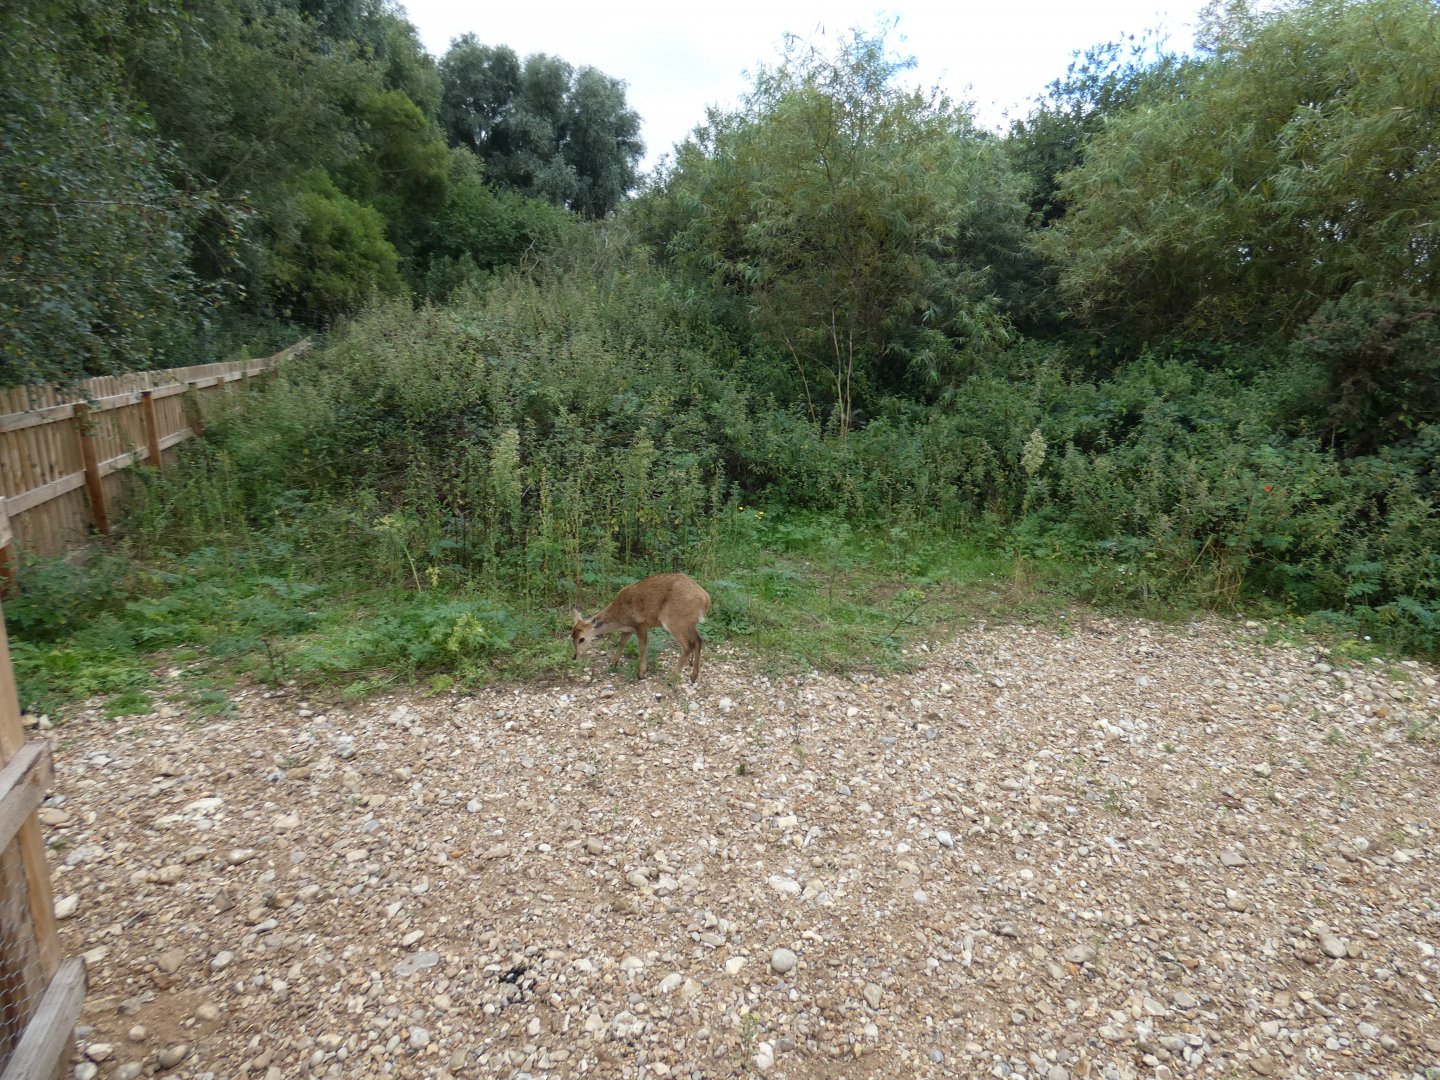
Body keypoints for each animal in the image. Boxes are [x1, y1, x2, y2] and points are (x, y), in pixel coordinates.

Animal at [571, 573, 712, 682]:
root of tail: (706, 599)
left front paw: (641, 673)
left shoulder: (641, 624)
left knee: (688, 645)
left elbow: (643, 646)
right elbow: (622, 643)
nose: (575, 656)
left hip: (674, 620)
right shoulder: (628, 629)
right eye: (572, 637)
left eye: (581, 639)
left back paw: (671, 678)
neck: (620, 618)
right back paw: (693, 676)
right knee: (698, 640)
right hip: (689, 623)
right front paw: (613, 663)